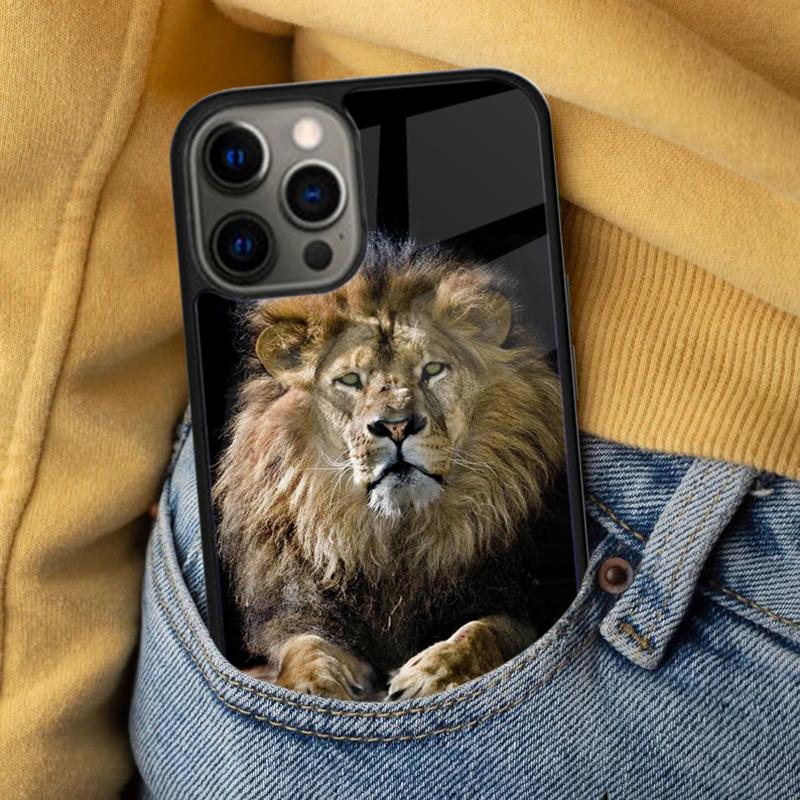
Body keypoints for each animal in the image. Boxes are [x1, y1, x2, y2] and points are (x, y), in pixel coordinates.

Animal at [213, 236, 565, 701]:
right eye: (349, 380)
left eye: (432, 369)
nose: (396, 425)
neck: (394, 538)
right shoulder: (298, 612)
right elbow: (305, 646)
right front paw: (313, 684)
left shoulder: (523, 600)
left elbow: (482, 632)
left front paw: (433, 672)